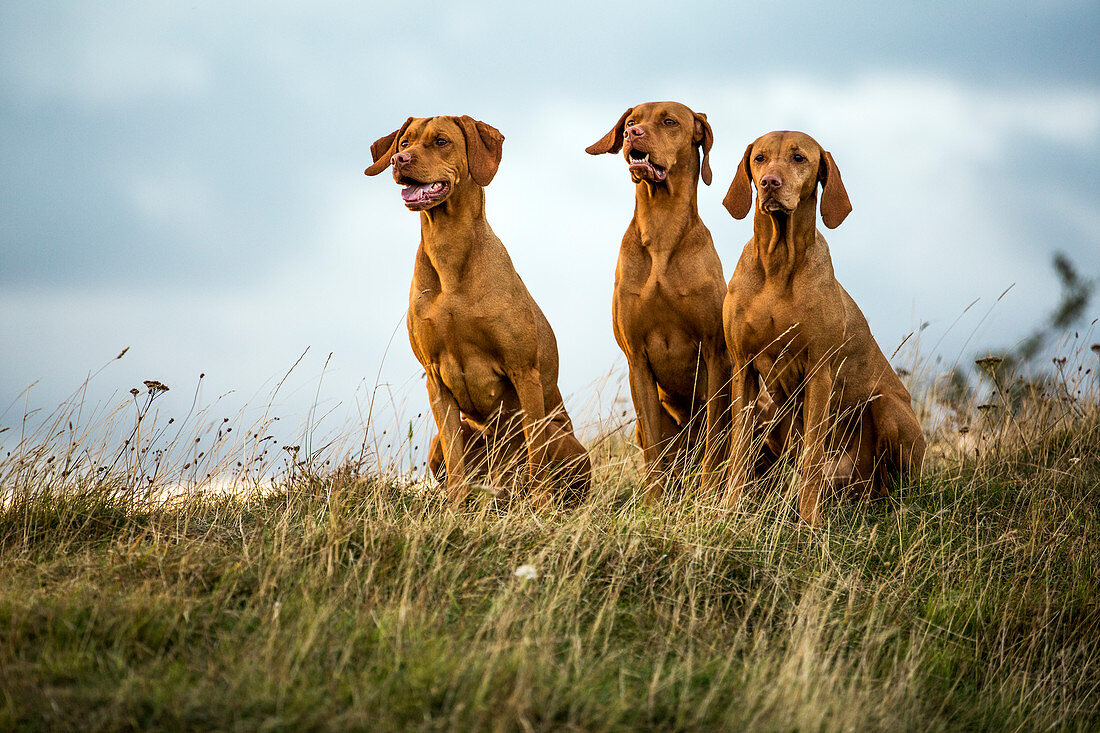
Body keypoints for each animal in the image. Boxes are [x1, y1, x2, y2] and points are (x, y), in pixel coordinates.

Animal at [365, 115, 594, 501]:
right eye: (404, 143)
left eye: (441, 141)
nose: (400, 160)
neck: (449, 249)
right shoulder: (435, 378)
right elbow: (456, 461)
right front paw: (455, 507)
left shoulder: (524, 370)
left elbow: (537, 459)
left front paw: (540, 507)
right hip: (444, 442)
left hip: (560, 438)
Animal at [585, 100, 730, 497]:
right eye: (632, 121)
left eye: (669, 121)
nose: (632, 133)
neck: (662, 230)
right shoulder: (637, 360)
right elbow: (653, 450)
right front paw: (652, 502)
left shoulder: (715, 353)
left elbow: (714, 443)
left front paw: (709, 496)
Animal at [721, 128, 928, 521]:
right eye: (759, 158)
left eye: (799, 158)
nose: (769, 182)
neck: (778, 261)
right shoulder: (743, 368)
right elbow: (738, 449)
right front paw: (728, 508)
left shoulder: (819, 372)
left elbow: (813, 454)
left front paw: (809, 523)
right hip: (773, 413)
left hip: (886, 407)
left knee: (900, 484)